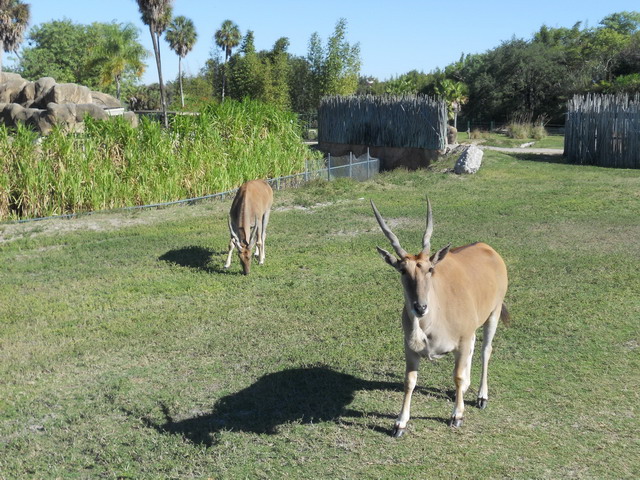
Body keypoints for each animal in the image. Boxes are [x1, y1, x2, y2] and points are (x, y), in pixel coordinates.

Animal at [372, 197, 508, 436]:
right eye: (402, 270)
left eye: (429, 269)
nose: (420, 307)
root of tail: (487, 248)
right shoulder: (410, 349)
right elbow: (409, 381)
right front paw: (400, 423)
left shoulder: (461, 342)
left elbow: (457, 375)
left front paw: (457, 415)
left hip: (494, 312)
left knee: (486, 349)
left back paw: (482, 396)